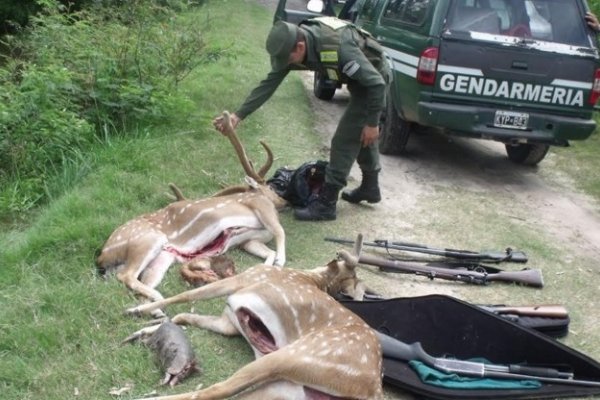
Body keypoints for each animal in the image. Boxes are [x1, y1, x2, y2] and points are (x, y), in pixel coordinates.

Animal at [95, 111, 286, 310]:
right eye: (270, 188)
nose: (284, 201)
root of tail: (103, 256)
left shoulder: (248, 241)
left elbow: (268, 250)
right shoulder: (260, 204)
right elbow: (279, 230)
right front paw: (280, 261)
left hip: (162, 257)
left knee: (142, 283)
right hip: (146, 240)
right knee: (126, 275)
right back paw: (157, 297)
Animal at [123, 236, 382, 398]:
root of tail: (372, 389)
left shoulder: (244, 280)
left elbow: (186, 296)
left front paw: (136, 311)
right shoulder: (228, 323)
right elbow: (182, 316)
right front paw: (144, 328)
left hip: (292, 357)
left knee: (214, 390)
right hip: (286, 388)